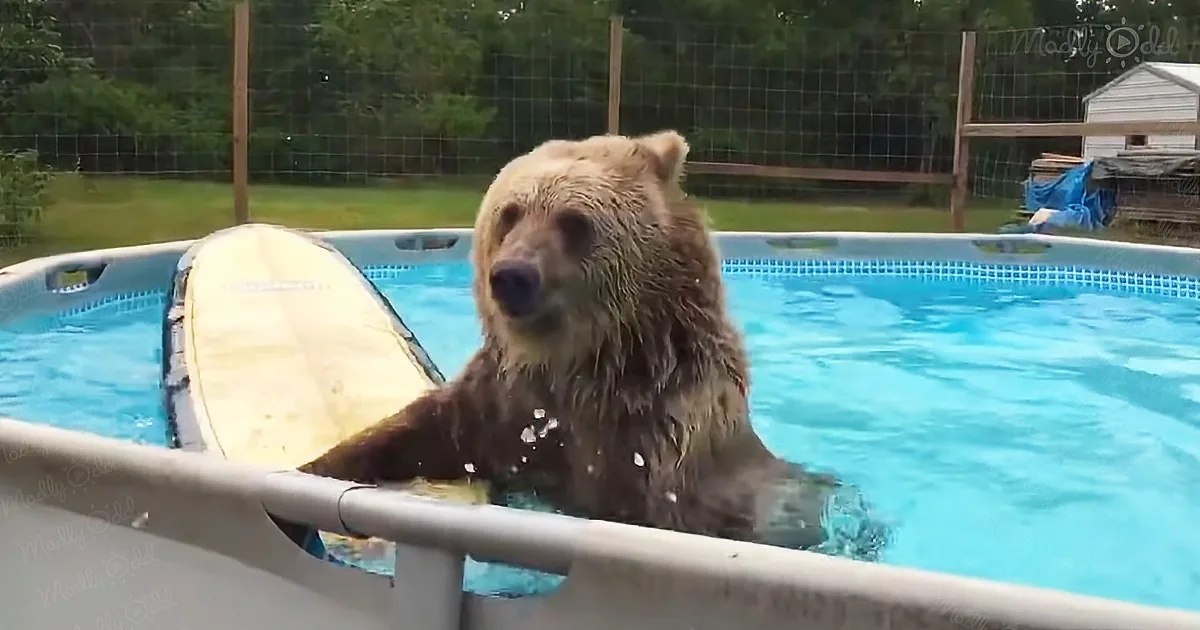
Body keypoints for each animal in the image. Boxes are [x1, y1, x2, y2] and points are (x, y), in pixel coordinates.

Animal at [298, 130, 885, 555]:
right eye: (510, 213)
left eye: (573, 220)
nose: (512, 276)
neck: (582, 368)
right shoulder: (499, 410)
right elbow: (401, 439)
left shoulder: (656, 444)